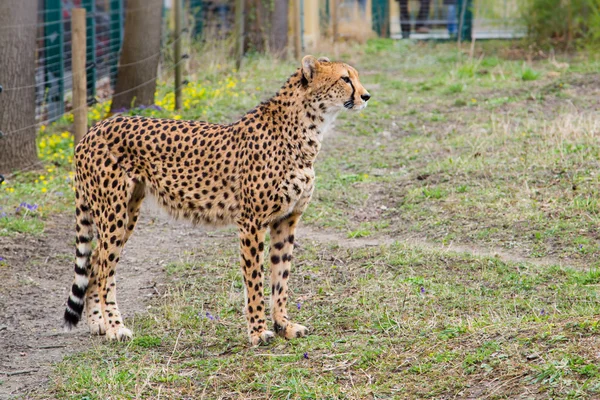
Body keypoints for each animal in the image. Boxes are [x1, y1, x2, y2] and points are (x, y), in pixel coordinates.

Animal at [62, 54, 370, 346]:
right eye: (345, 78)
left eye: (355, 76)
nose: (366, 96)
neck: (307, 128)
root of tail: (92, 130)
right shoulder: (252, 222)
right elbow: (255, 280)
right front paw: (258, 332)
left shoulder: (286, 220)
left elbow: (280, 278)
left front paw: (284, 326)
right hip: (113, 214)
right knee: (104, 269)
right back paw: (115, 328)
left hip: (126, 214)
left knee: (94, 262)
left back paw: (98, 324)